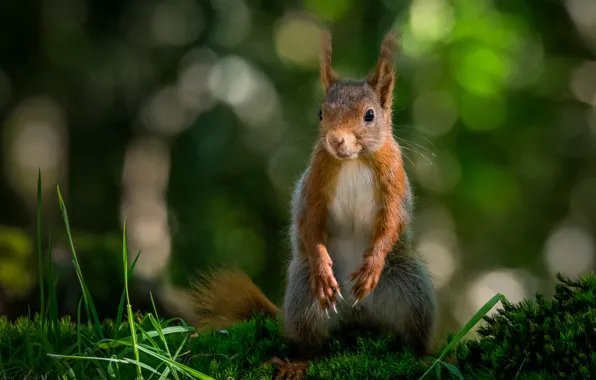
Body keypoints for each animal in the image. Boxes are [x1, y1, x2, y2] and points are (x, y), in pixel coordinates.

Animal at [190, 29, 438, 378]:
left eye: (370, 115)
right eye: (321, 113)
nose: (335, 140)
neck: (354, 161)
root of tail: (356, 317)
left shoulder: (394, 181)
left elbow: (393, 221)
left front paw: (372, 264)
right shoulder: (315, 185)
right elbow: (309, 222)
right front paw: (323, 269)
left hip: (413, 291)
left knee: (411, 337)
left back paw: (422, 356)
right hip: (303, 300)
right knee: (312, 344)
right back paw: (297, 363)